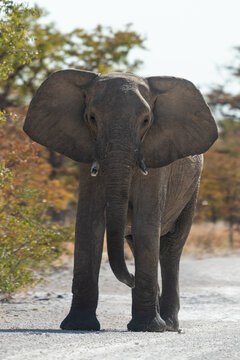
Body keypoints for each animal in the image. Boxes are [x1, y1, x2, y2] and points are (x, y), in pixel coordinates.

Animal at [23, 70, 218, 332]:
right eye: (92, 118)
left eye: (146, 120)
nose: (132, 281)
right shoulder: (88, 155)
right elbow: (89, 224)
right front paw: (79, 325)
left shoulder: (156, 163)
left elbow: (146, 223)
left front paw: (147, 328)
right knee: (137, 243)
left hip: (192, 188)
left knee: (170, 247)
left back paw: (168, 324)